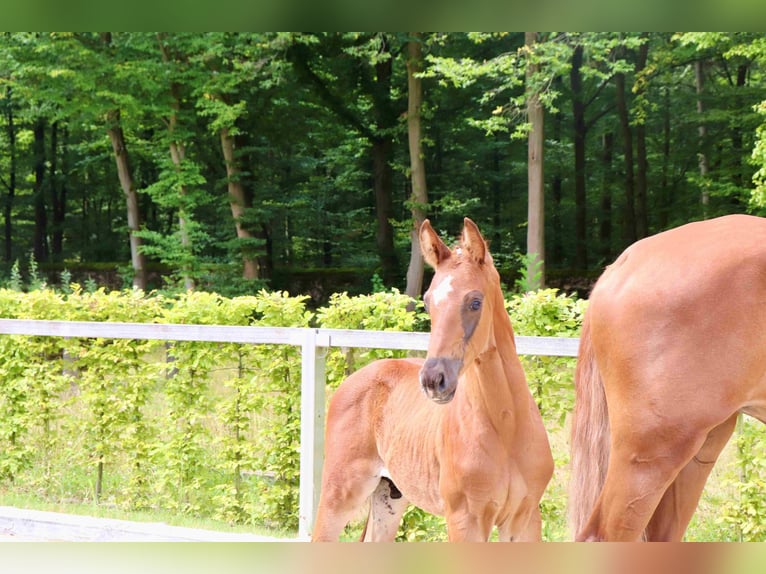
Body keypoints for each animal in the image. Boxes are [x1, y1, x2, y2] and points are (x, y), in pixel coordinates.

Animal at [310, 218, 552, 544]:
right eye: (427, 302)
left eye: (475, 302)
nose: (433, 380)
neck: (507, 427)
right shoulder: (465, 520)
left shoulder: (524, 520)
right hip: (340, 492)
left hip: (389, 496)